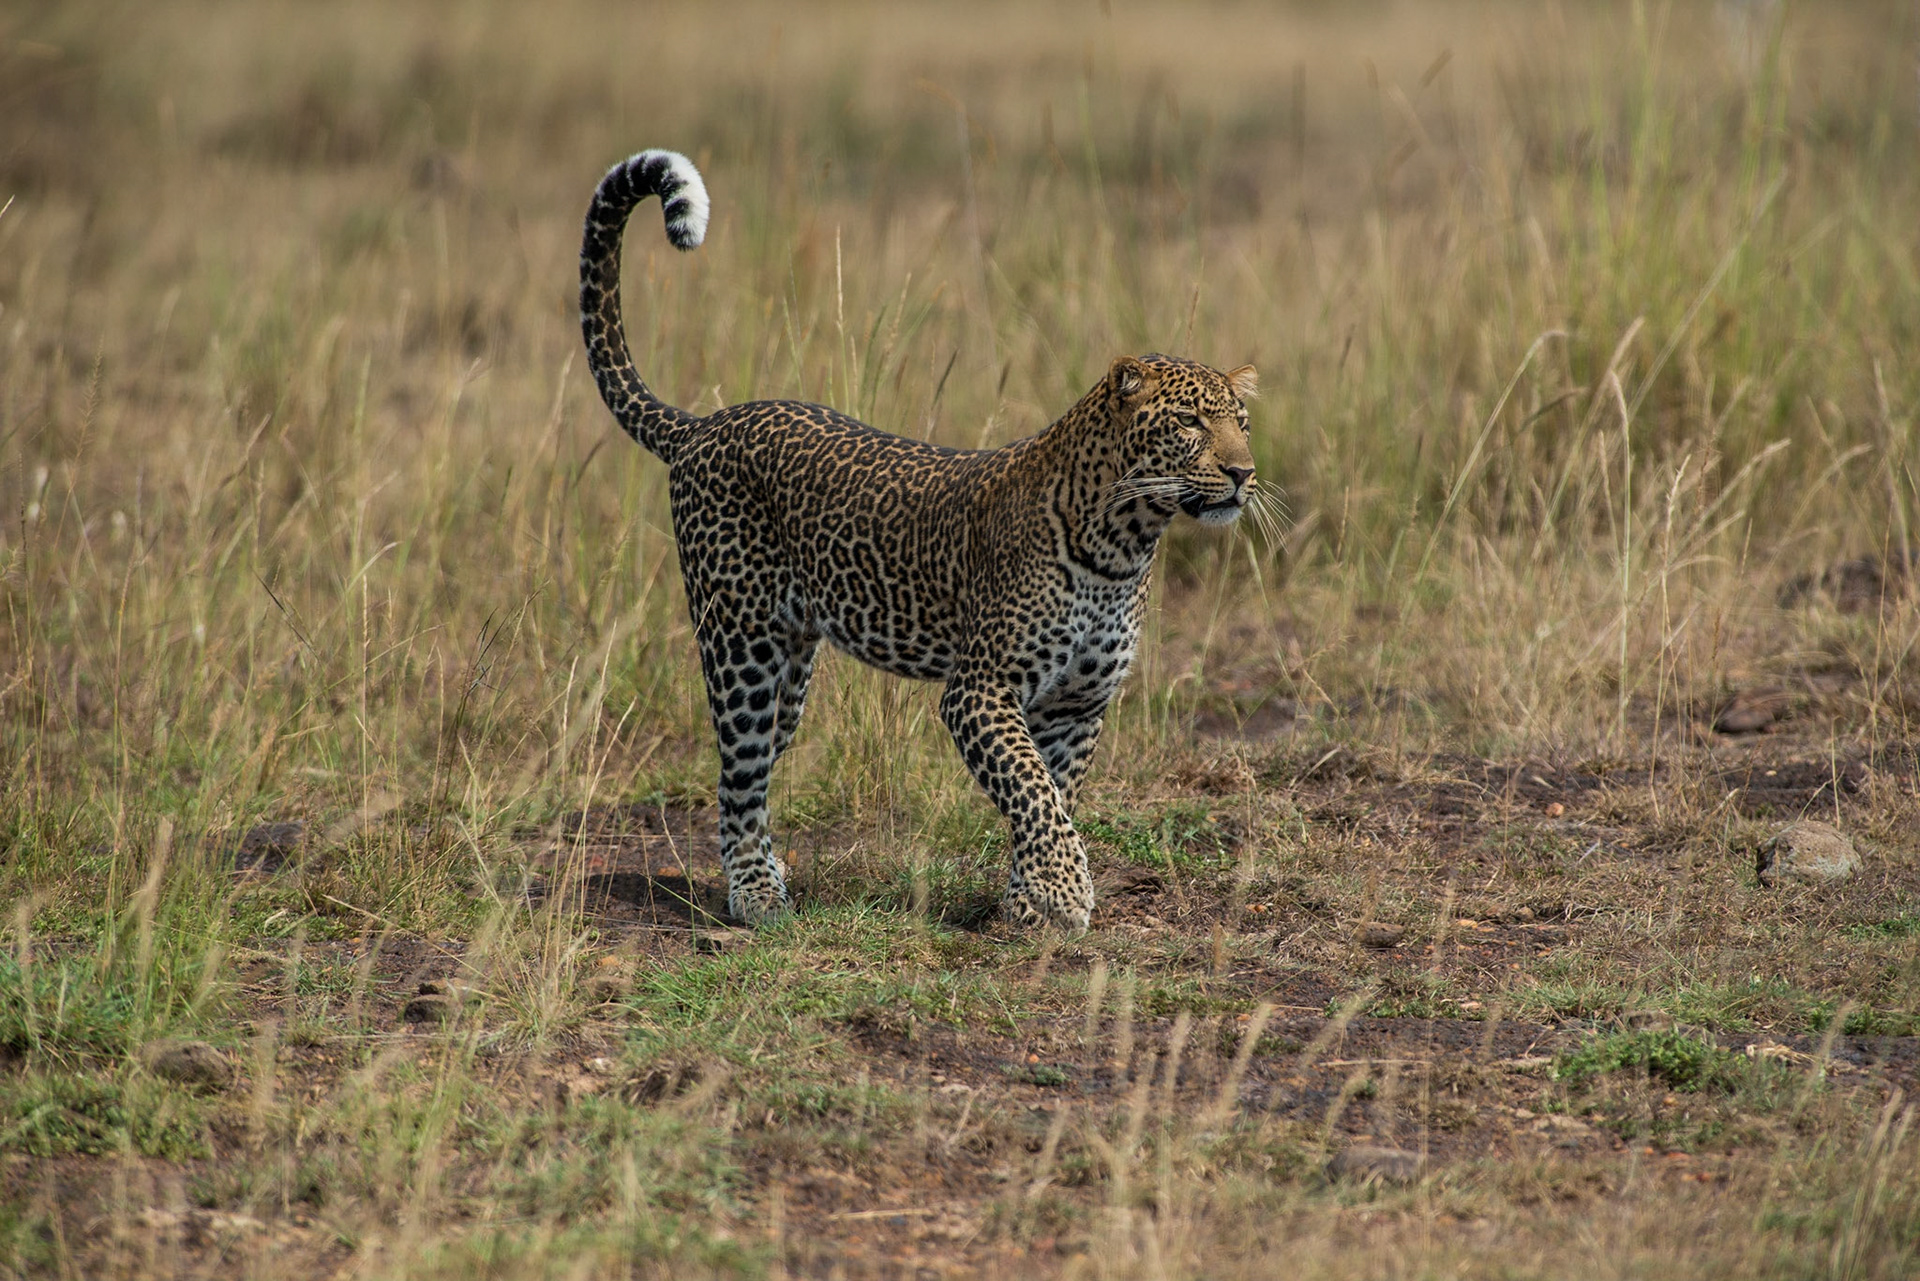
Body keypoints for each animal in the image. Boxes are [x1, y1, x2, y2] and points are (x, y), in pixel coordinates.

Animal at [580, 149, 1263, 931]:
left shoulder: (1076, 706)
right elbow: (1033, 792)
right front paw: (1064, 893)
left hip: (791, 668)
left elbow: (1050, 796)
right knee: (737, 782)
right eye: (1188, 423)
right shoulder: (980, 688)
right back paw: (757, 897)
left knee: (751, 770)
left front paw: (1026, 904)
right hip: (740, 648)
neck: (1123, 543)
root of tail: (703, 425)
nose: (1243, 473)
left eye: (1242, 421)